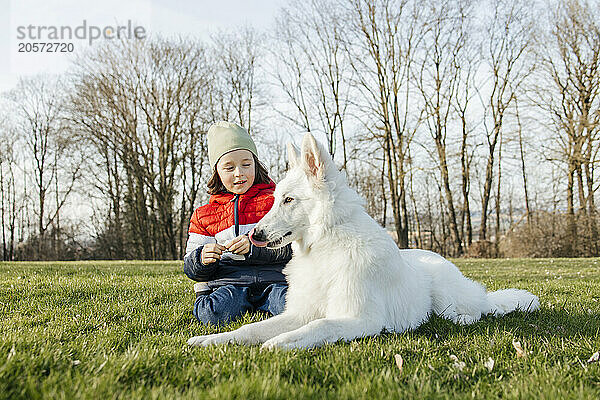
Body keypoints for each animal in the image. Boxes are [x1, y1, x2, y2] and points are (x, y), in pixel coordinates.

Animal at [188, 133, 540, 348]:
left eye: (288, 200)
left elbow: (319, 327)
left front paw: (282, 343)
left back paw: (466, 316)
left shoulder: (361, 319)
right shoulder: (300, 311)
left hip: (448, 298)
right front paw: (214, 341)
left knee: (480, 308)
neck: (326, 245)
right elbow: (251, 328)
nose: (254, 235)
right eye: (274, 200)